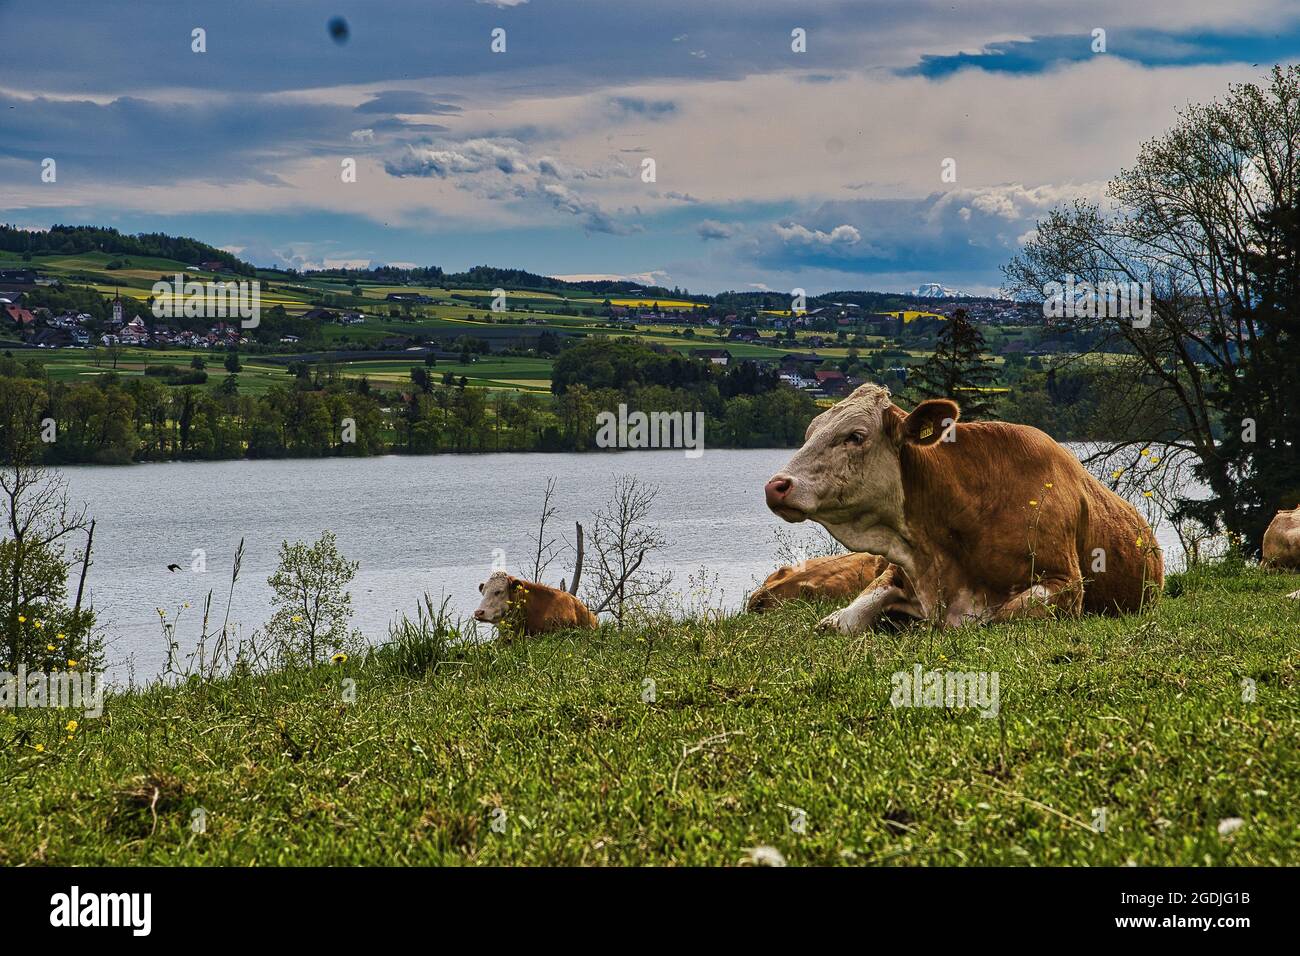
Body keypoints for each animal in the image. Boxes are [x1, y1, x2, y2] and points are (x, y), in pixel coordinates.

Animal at [763, 384, 1163, 633]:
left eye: (855, 436)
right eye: (809, 433)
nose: (776, 486)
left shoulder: (1066, 584)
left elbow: (1000, 617)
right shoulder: (894, 572)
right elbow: (836, 623)